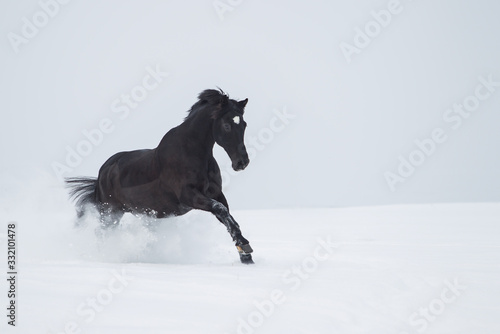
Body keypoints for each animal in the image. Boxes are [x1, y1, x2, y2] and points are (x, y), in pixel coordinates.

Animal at [65, 88, 254, 264]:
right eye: (227, 125)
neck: (192, 153)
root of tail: (102, 173)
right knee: (102, 232)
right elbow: (221, 211)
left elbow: (227, 216)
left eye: (244, 124)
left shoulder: (215, 194)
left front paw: (245, 254)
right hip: (111, 212)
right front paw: (245, 247)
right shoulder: (190, 197)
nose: (242, 162)